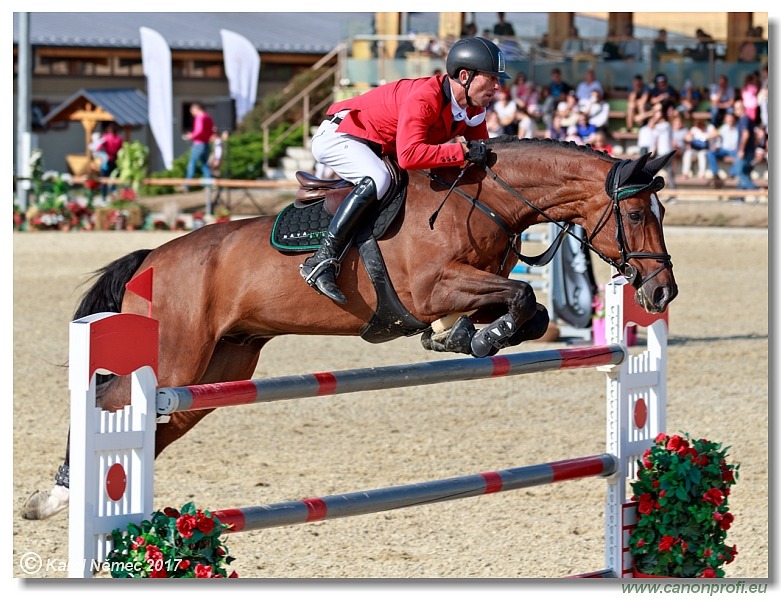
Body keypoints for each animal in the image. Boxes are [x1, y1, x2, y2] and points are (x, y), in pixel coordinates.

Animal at [19, 137, 676, 520]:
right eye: (635, 212)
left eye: (661, 210)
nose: (660, 292)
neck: (482, 197)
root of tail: (151, 257)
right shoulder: (431, 288)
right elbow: (521, 294)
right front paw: (480, 338)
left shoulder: (469, 285)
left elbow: (529, 309)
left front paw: (465, 337)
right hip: (175, 358)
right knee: (107, 401)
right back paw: (56, 497)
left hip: (213, 372)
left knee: (151, 429)